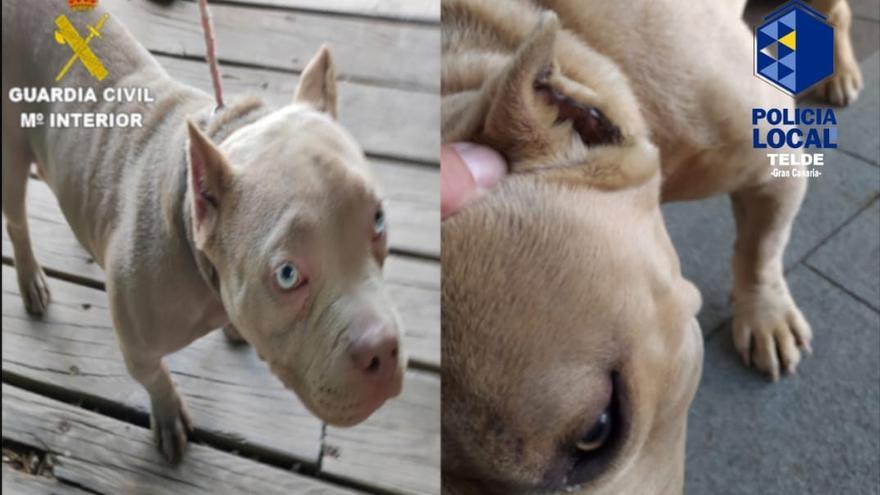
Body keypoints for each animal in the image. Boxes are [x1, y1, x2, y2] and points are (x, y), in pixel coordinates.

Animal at [0, 0, 404, 464]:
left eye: (379, 220)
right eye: (287, 275)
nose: (383, 350)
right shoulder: (137, 349)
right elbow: (155, 376)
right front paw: (169, 414)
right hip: (10, 163)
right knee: (16, 221)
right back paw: (30, 280)